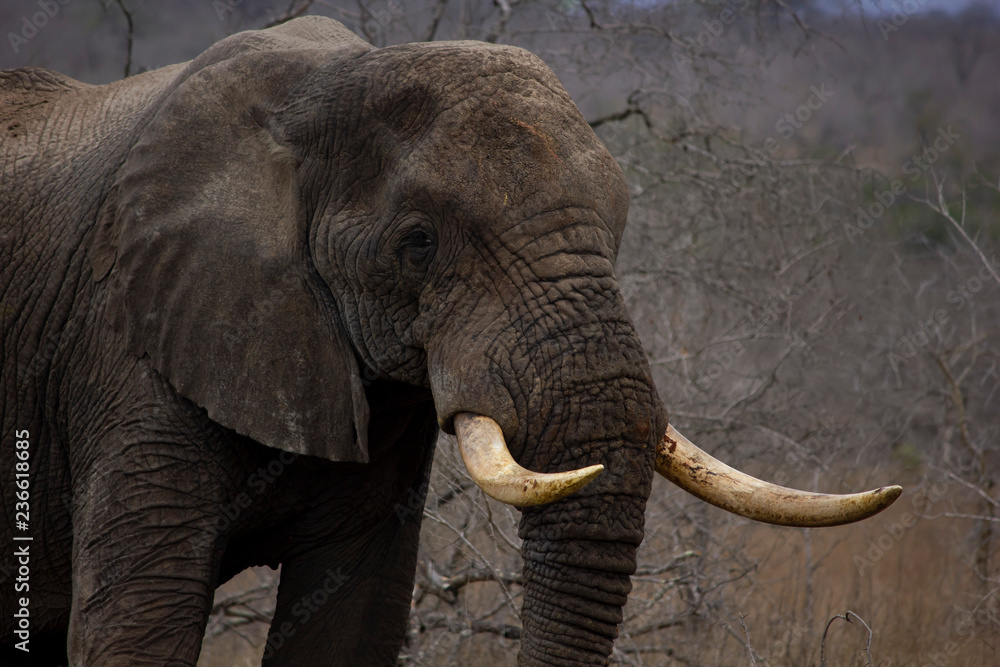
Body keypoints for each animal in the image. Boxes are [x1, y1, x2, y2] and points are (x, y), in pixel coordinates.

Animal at [0, 16, 901, 666]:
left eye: (619, 225)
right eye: (419, 242)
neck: (329, 86)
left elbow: (353, 621)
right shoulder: (131, 349)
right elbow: (138, 626)